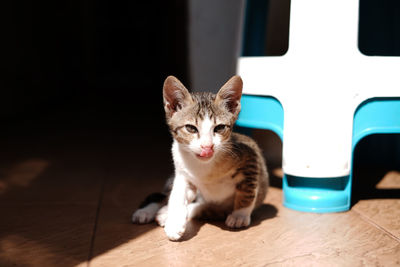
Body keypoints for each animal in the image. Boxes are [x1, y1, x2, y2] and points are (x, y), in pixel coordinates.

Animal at [134, 76, 268, 243]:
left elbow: (248, 191)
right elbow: (177, 196)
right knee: (164, 196)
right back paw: (147, 212)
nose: (207, 147)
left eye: (219, 128)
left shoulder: (251, 154)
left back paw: (166, 213)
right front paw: (174, 222)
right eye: (191, 128)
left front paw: (240, 215)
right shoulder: (182, 172)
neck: (204, 168)